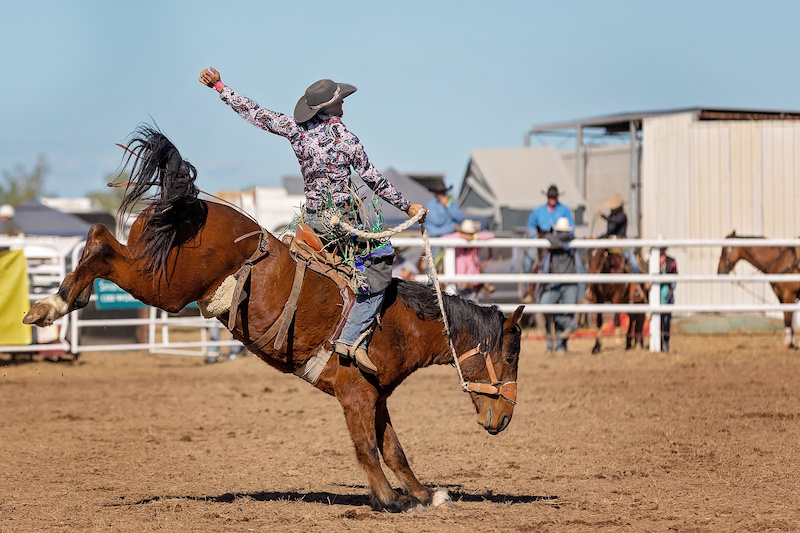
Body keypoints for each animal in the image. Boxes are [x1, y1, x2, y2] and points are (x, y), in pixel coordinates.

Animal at [23, 125, 525, 512]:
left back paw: (58, 300)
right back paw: (51, 305)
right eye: (512, 357)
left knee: (98, 234)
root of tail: (192, 202)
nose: (504, 420)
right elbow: (367, 448)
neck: (397, 321)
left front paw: (425, 494)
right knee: (102, 246)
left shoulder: (377, 395)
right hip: (165, 285)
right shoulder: (355, 394)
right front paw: (388, 499)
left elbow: (394, 450)